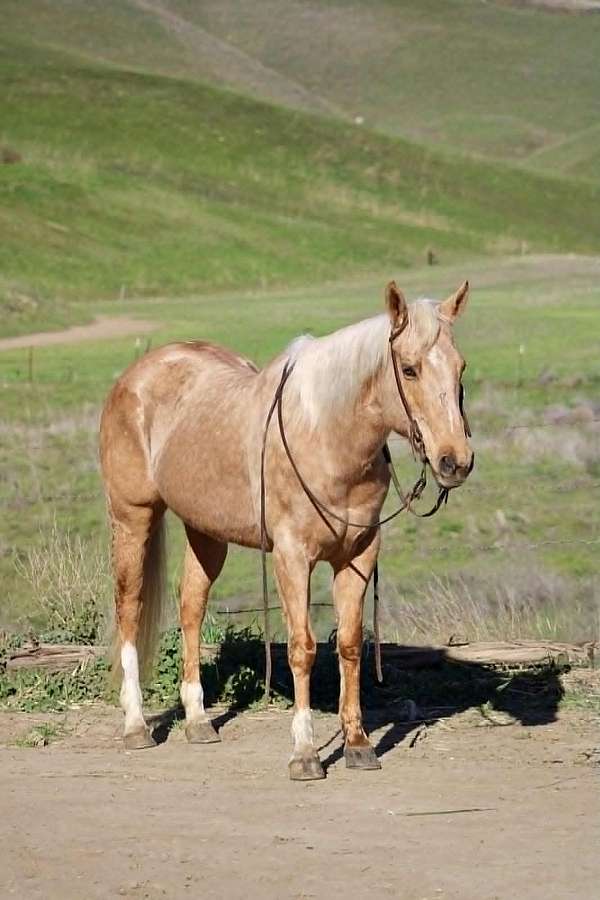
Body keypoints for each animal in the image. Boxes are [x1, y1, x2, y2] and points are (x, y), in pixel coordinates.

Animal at [99, 279, 473, 780]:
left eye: (460, 366)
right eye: (409, 369)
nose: (455, 461)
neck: (327, 436)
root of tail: (135, 375)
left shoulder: (358, 555)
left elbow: (350, 645)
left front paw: (358, 744)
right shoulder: (292, 557)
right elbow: (302, 648)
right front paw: (305, 752)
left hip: (206, 533)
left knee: (191, 607)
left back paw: (198, 720)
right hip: (132, 517)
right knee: (130, 607)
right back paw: (136, 725)